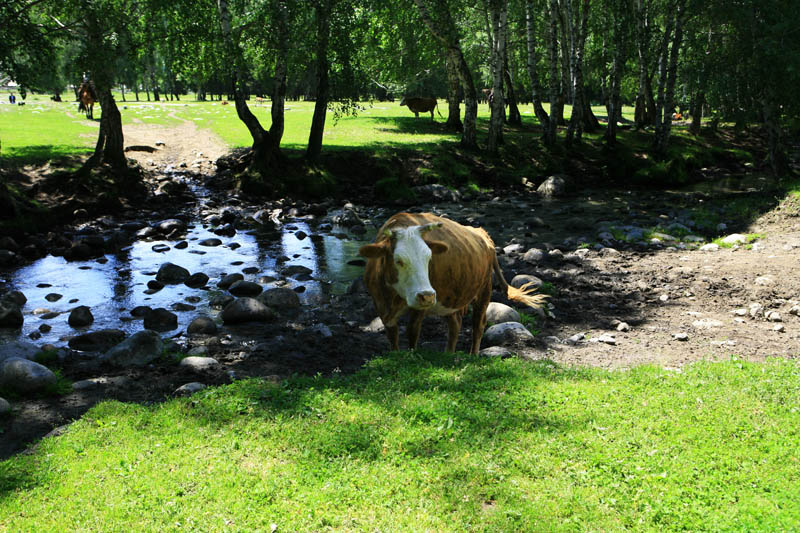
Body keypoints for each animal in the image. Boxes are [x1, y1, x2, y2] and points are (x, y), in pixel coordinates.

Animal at [360, 211, 548, 354]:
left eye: (429, 258)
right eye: (398, 260)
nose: (427, 296)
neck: (393, 298)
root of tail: (483, 235)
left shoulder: (420, 308)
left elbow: (412, 331)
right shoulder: (381, 306)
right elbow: (393, 336)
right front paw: (397, 356)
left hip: (484, 290)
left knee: (478, 324)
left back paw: (473, 355)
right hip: (454, 297)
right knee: (455, 324)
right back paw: (449, 354)